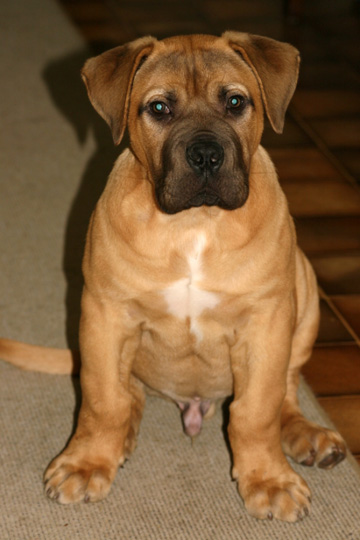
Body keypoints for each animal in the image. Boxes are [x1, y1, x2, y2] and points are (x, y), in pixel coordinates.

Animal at [0, 31, 346, 520]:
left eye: (235, 102)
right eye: (160, 108)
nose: (205, 156)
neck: (194, 225)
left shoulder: (267, 321)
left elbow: (257, 409)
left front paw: (268, 478)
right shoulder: (105, 315)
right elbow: (102, 399)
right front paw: (88, 462)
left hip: (305, 286)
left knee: (287, 390)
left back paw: (306, 435)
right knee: (128, 393)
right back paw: (121, 439)